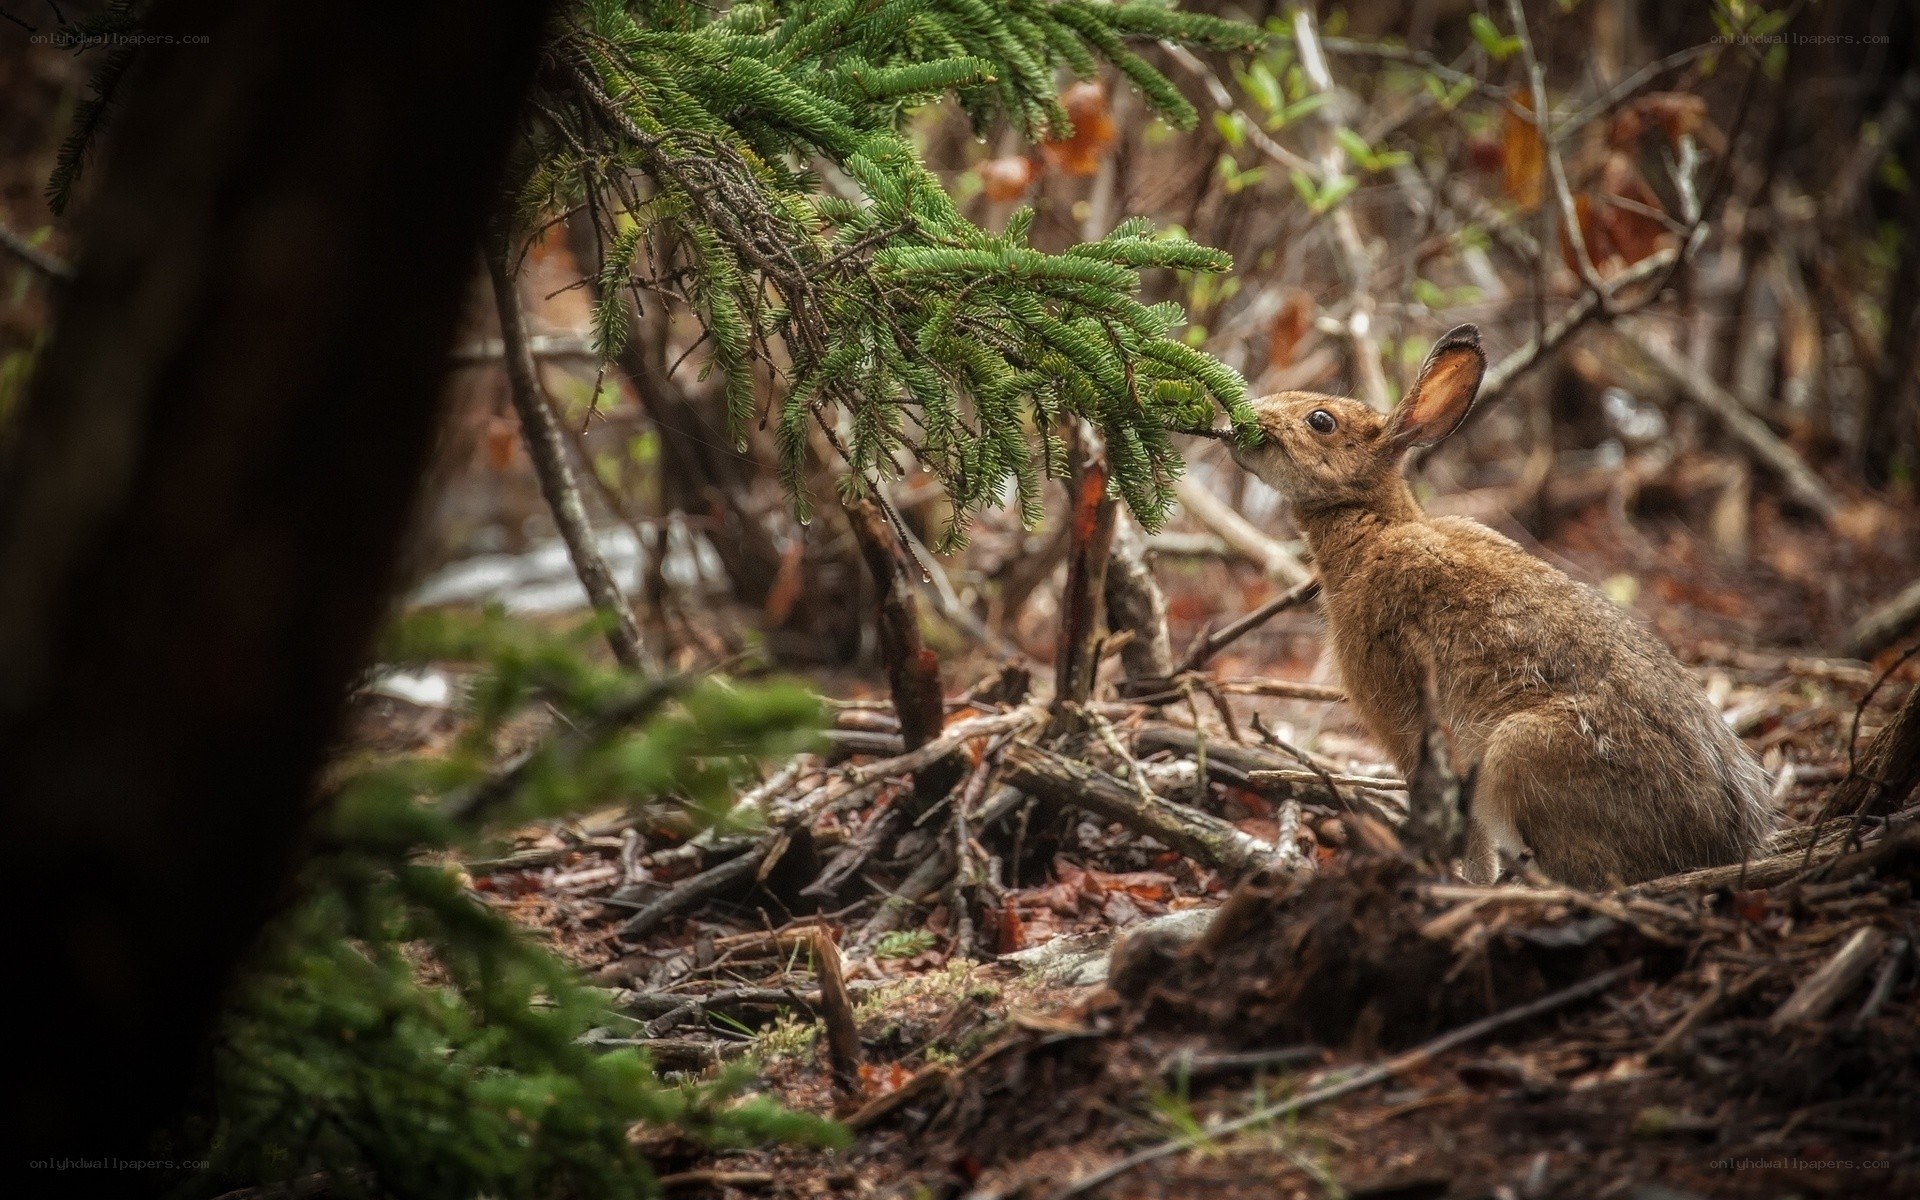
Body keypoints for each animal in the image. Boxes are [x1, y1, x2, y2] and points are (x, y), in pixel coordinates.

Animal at [1228, 324, 1772, 887]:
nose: (1245, 418)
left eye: (1321, 420)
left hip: (1519, 753)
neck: (1376, 526)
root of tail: (1717, 843)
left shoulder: (1410, 725)